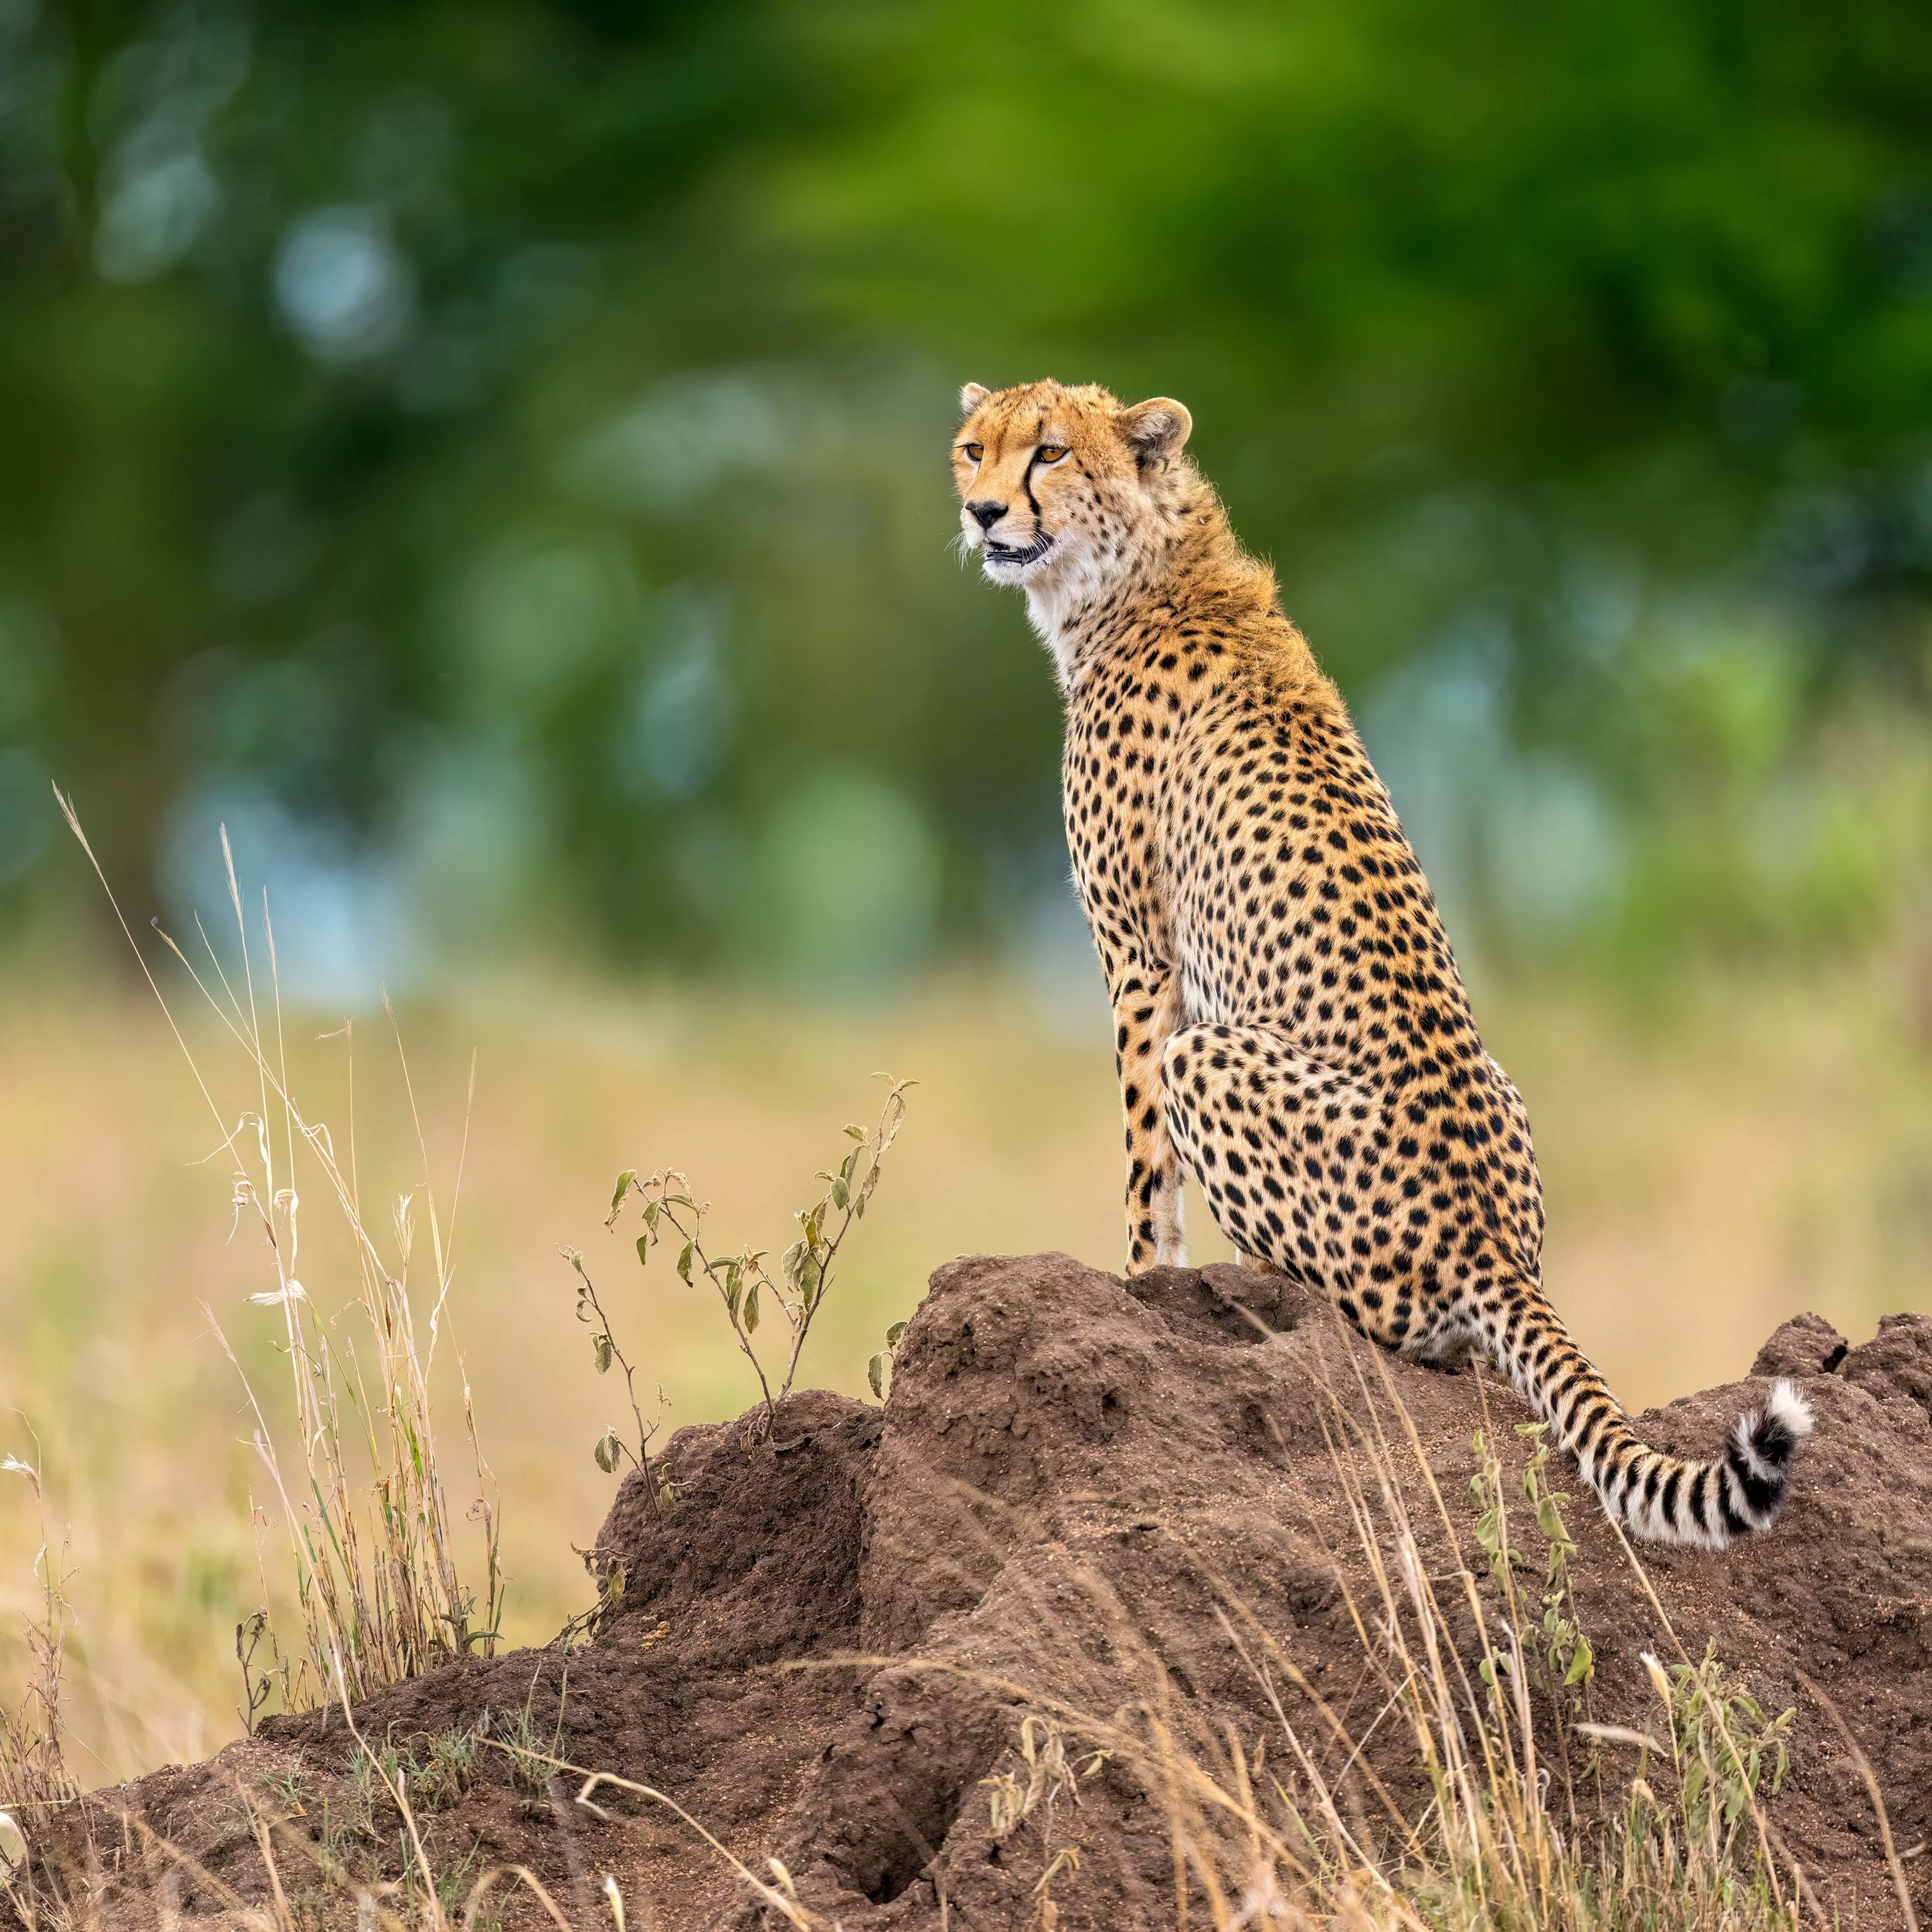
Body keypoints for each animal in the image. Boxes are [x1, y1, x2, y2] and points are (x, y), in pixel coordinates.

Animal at [952, 376, 1811, 1548]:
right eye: (971, 449)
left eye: (1047, 453)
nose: (984, 513)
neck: (1143, 569)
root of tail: (1495, 1246)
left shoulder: (1140, 961)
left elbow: (1142, 1172)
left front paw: (1138, 1288)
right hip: (1499, 1085)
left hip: (1213, 1064)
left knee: (1377, 1318)